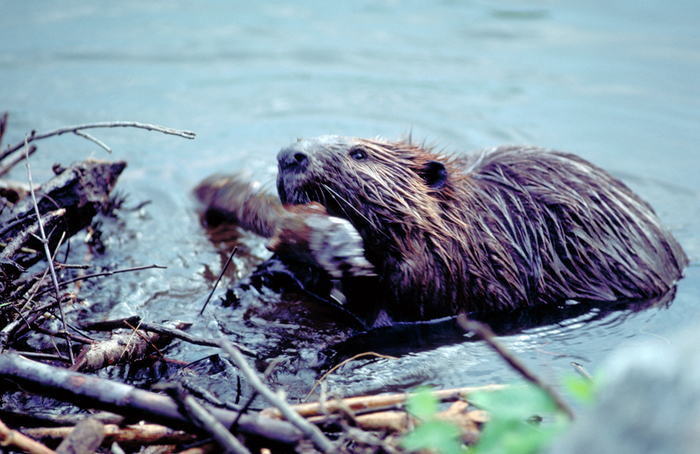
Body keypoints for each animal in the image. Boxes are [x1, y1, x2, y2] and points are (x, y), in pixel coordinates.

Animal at [197, 137, 688, 328]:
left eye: (358, 153)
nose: (289, 154)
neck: (473, 222)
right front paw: (265, 272)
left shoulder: (450, 269)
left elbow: (396, 306)